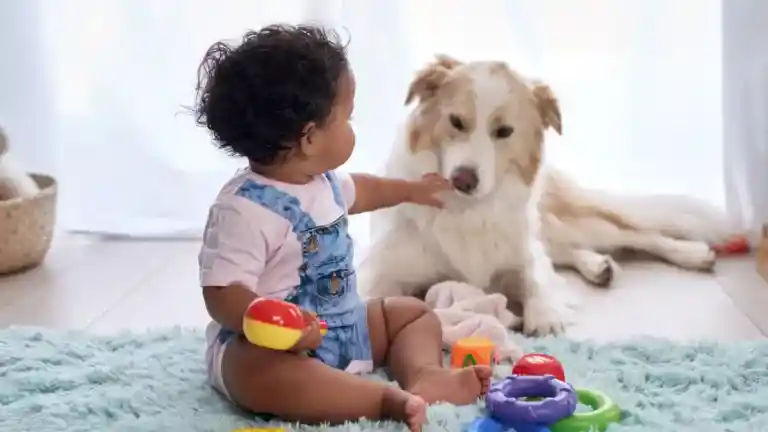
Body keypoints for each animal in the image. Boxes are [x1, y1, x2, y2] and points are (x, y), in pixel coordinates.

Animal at [360, 54, 736, 338]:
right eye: (455, 121)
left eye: (504, 131)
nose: (463, 180)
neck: (467, 210)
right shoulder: (383, 268)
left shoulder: (520, 252)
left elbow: (535, 277)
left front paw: (544, 317)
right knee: (568, 250)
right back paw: (599, 266)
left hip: (566, 223)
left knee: (637, 234)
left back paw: (691, 254)